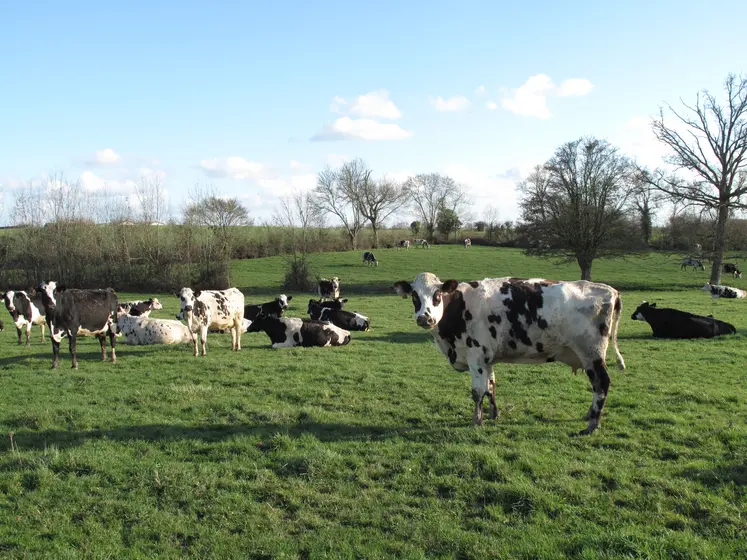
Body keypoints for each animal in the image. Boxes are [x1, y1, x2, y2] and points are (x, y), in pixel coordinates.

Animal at [393, 273, 625, 434]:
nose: (425, 318)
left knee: (602, 383)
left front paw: (477, 421)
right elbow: (491, 386)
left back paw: (592, 424)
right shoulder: (487, 358)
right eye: (414, 296)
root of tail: (609, 290)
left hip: (592, 354)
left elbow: (477, 392)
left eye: (437, 294)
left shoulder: (475, 357)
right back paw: (589, 416)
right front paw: (494, 415)